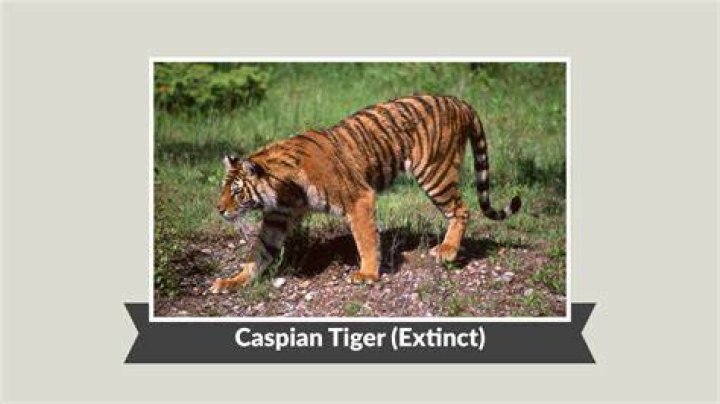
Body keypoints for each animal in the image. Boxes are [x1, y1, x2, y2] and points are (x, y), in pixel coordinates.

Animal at [209, 94, 521, 293]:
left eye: (236, 192)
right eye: (224, 188)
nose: (219, 209)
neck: (284, 190)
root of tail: (460, 101)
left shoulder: (359, 198)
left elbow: (366, 239)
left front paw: (367, 274)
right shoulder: (277, 217)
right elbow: (259, 252)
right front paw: (233, 281)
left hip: (435, 172)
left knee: (461, 209)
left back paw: (447, 251)